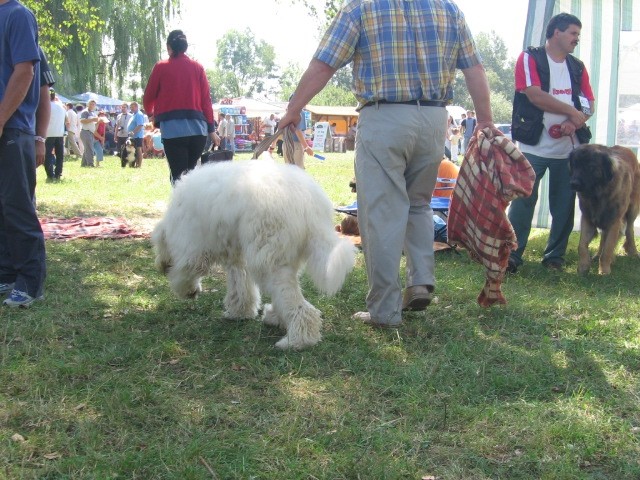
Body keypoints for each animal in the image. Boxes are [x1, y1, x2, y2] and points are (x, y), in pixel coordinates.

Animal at [152, 160, 358, 348]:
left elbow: (187, 270)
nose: (161, 266)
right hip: (277, 258)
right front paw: (239, 312)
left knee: (299, 306)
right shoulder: (235, 256)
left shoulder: (194, 247)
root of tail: (310, 203)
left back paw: (296, 341)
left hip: (269, 261)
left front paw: (188, 290)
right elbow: (240, 284)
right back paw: (275, 317)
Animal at [568, 143, 640, 274]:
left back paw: (633, 251)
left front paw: (604, 271)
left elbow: (608, 248)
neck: (598, 194)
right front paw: (583, 266)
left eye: (590, 167)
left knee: (629, 229)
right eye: (575, 165)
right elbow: (582, 245)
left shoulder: (614, 221)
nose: (573, 183)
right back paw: (597, 256)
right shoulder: (587, 218)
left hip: (632, 209)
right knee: (603, 238)